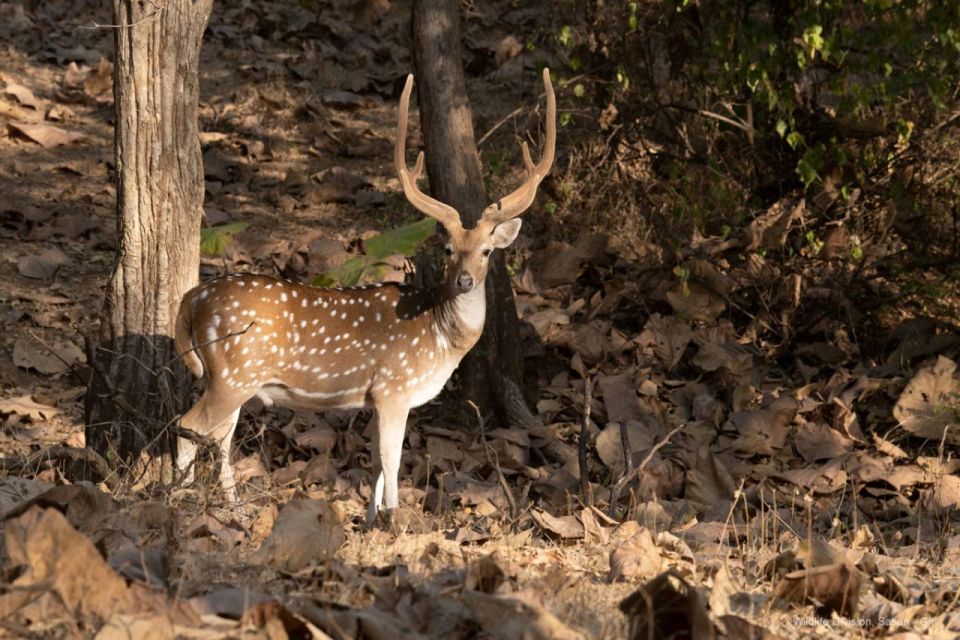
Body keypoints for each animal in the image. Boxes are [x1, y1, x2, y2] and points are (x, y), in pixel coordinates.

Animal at [174, 67, 556, 528]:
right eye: (448, 249)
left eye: (486, 251)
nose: (465, 280)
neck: (440, 338)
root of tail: (190, 300)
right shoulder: (394, 386)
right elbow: (392, 460)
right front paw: (395, 518)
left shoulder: (375, 397)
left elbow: (375, 462)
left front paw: (372, 520)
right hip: (234, 372)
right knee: (190, 426)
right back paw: (176, 498)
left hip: (231, 379)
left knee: (219, 437)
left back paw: (233, 507)